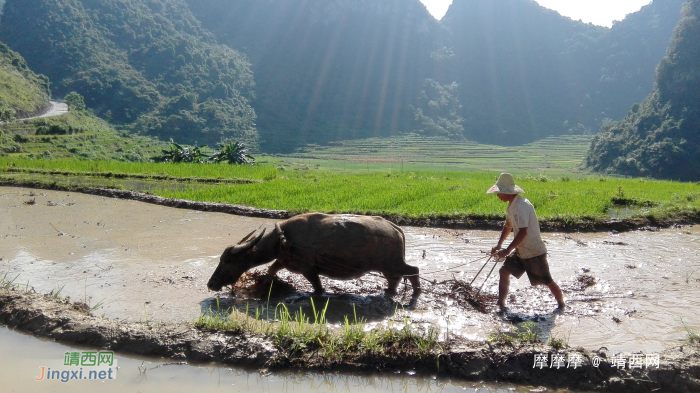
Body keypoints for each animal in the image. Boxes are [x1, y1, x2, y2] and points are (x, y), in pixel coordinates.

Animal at [208, 213, 422, 296]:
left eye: (227, 260)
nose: (210, 284)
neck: (283, 240)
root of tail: (395, 228)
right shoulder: (283, 261)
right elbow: (271, 269)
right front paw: (266, 283)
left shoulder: (309, 270)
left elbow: (317, 287)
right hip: (390, 266)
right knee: (397, 278)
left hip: (392, 263)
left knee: (413, 270)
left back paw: (415, 291)